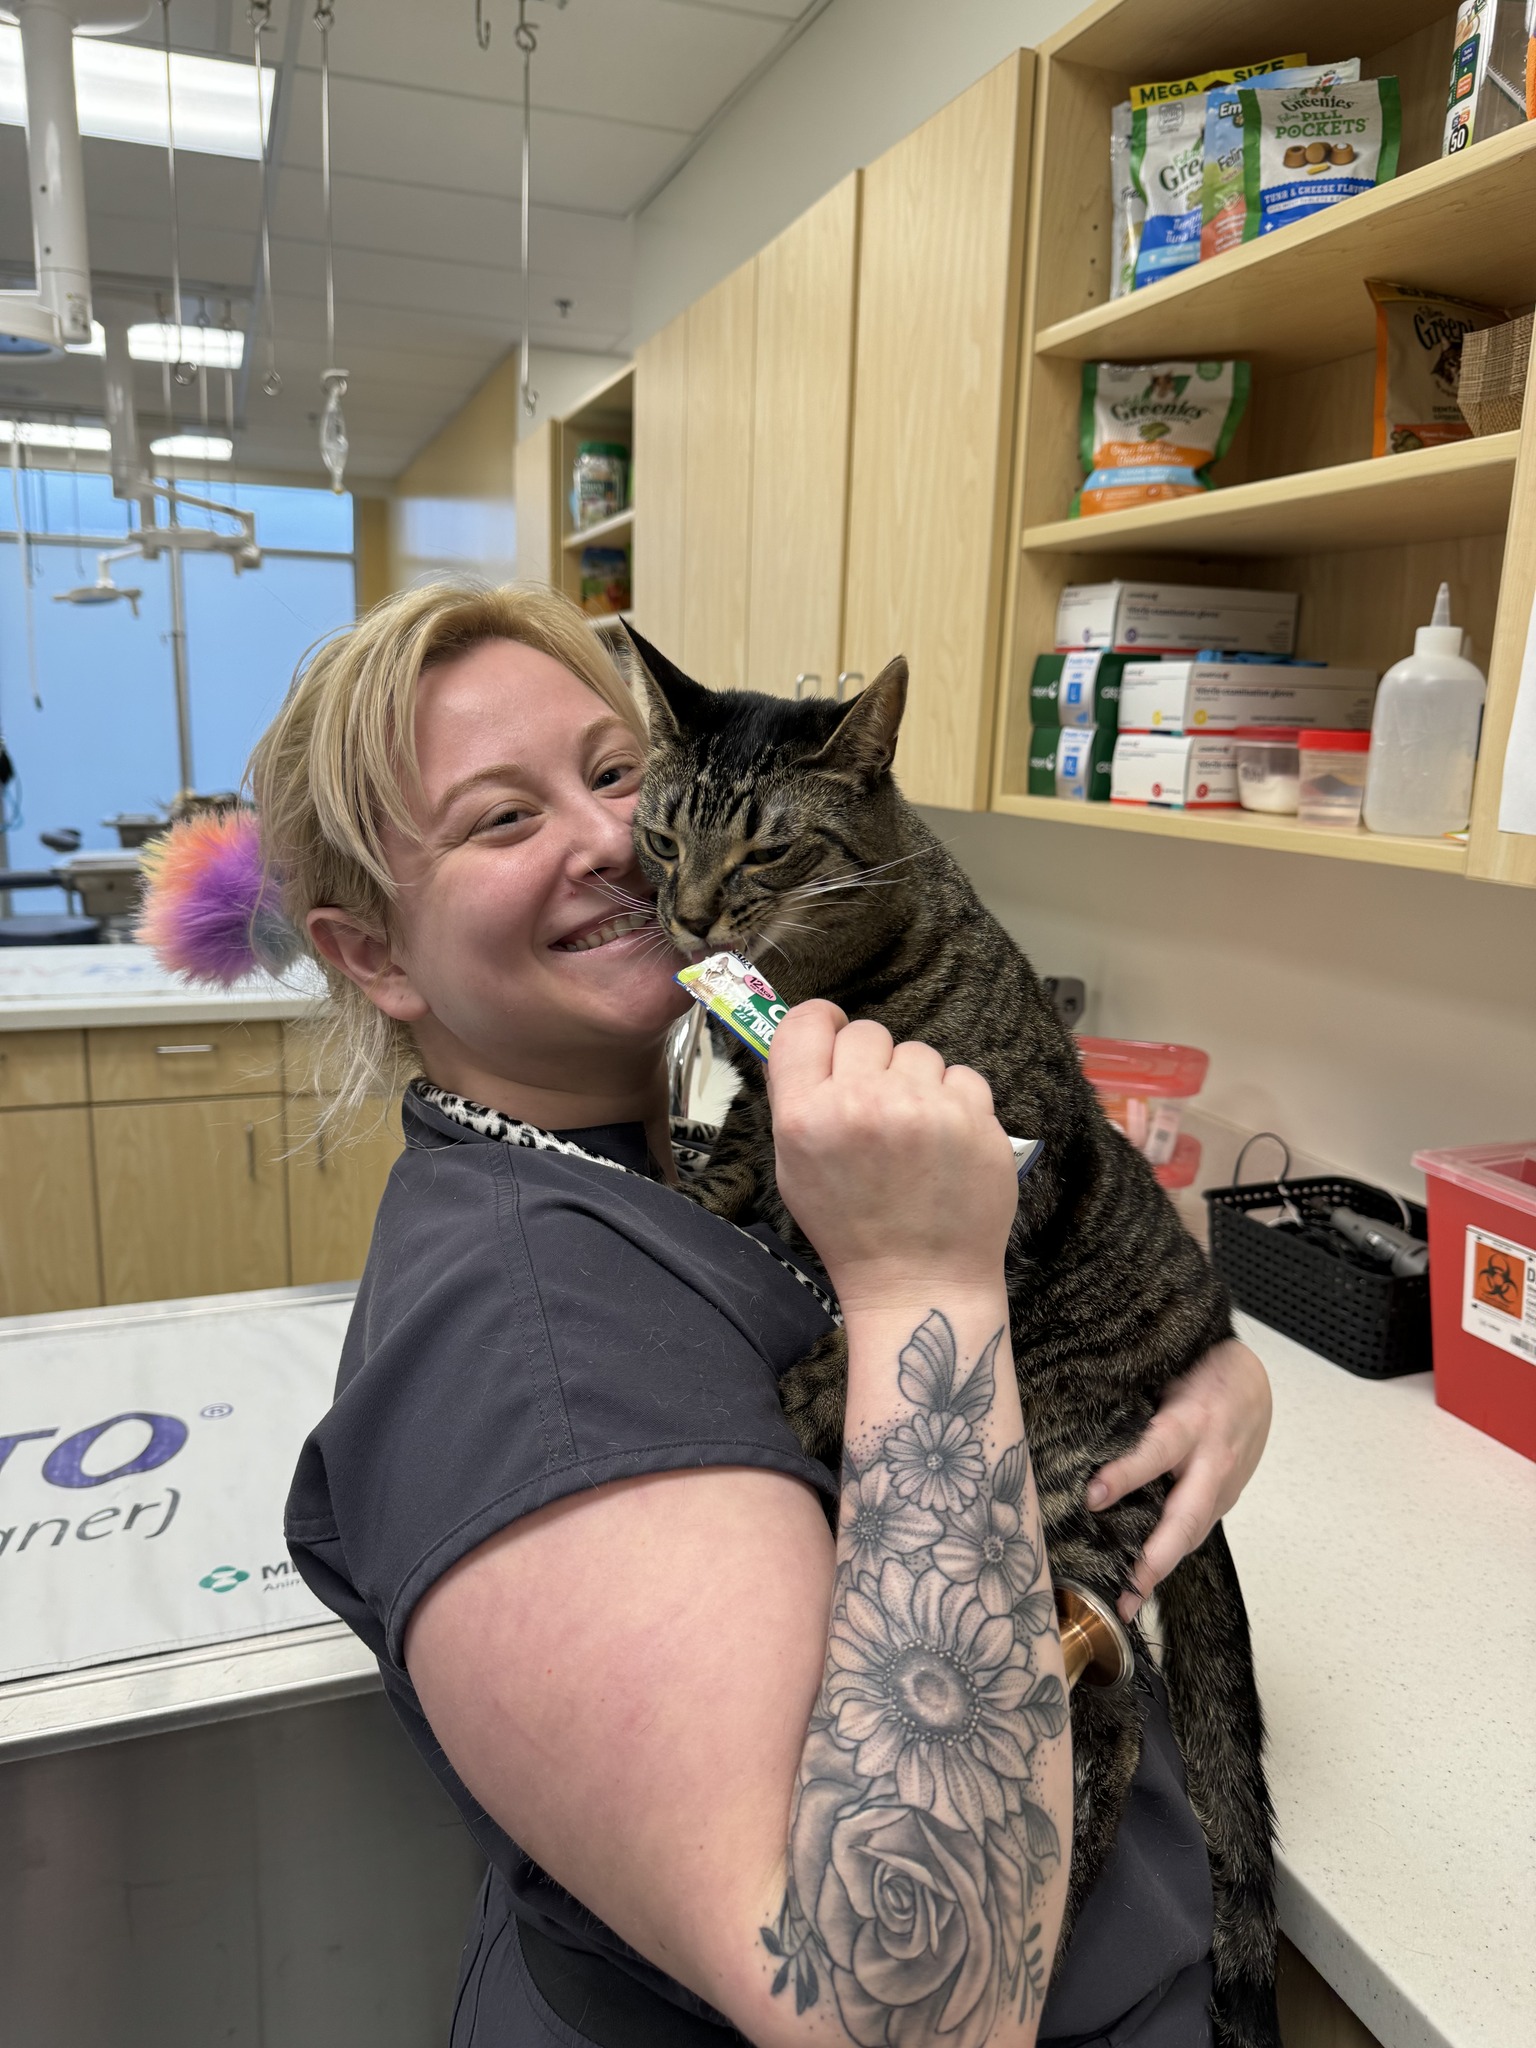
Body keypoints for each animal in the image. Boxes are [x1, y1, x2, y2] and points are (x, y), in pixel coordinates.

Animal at [626, 630, 1286, 2048]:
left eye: (765, 851)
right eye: (660, 837)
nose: (690, 918)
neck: (822, 988)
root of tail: (1194, 1341)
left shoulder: (1008, 1166)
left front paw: (814, 1364)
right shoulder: (758, 1104)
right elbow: (740, 1156)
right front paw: (697, 1184)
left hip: (1043, 1479)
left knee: (1104, 1722)